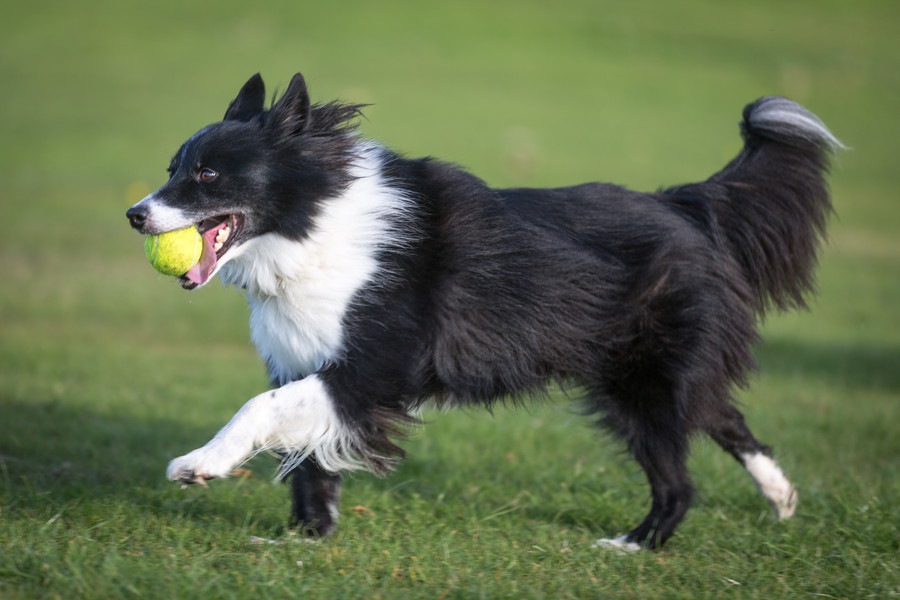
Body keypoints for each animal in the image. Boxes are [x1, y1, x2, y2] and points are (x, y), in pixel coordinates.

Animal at [128, 72, 844, 552]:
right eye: (173, 167)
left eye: (209, 175)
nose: (134, 215)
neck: (313, 225)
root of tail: (686, 204)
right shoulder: (307, 361)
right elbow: (308, 461)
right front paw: (305, 540)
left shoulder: (371, 372)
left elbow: (260, 410)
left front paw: (199, 465)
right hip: (650, 375)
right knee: (724, 415)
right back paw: (781, 498)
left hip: (644, 382)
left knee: (680, 479)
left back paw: (632, 545)